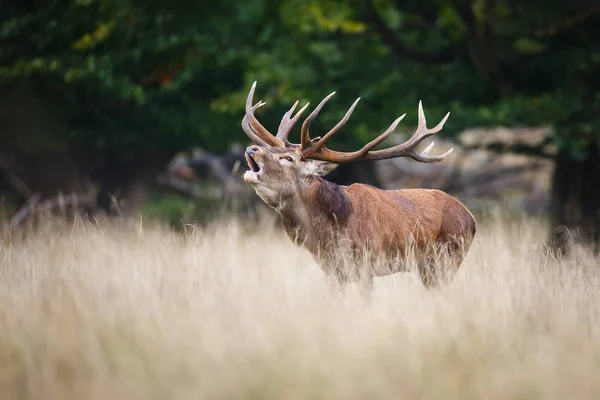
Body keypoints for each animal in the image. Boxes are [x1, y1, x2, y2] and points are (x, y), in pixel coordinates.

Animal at [240, 82, 478, 290]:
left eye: (288, 158)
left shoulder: (366, 265)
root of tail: (471, 217)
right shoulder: (332, 272)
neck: (327, 235)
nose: (252, 149)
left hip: (446, 258)